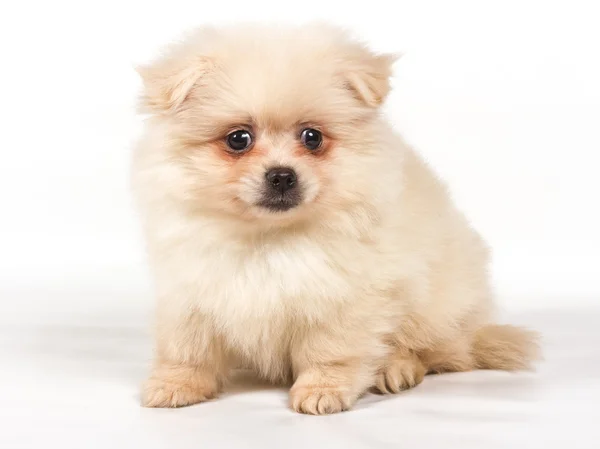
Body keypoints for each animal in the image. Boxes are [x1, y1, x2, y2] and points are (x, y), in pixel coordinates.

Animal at [132, 21, 540, 412]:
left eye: (312, 137)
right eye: (238, 139)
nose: (282, 175)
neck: (270, 237)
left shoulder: (344, 298)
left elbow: (330, 351)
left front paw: (322, 390)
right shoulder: (192, 291)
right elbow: (188, 349)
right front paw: (176, 384)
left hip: (435, 303)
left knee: (433, 350)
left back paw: (396, 368)